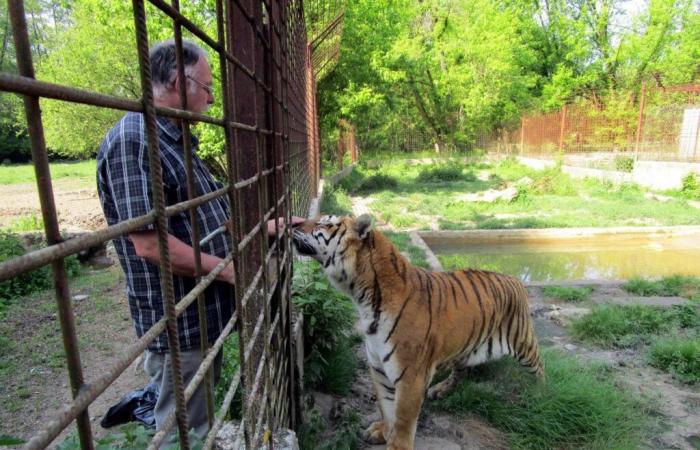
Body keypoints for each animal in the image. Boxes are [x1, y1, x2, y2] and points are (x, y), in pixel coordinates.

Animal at [292, 215, 544, 450]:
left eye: (324, 224)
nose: (293, 224)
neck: (362, 297)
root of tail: (516, 279)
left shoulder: (410, 374)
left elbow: (403, 417)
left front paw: (397, 445)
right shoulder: (378, 367)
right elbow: (385, 407)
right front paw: (382, 432)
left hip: (523, 343)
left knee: (539, 368)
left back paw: (538, 396)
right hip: (464, 345)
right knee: (461, 371)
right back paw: (440, 390)